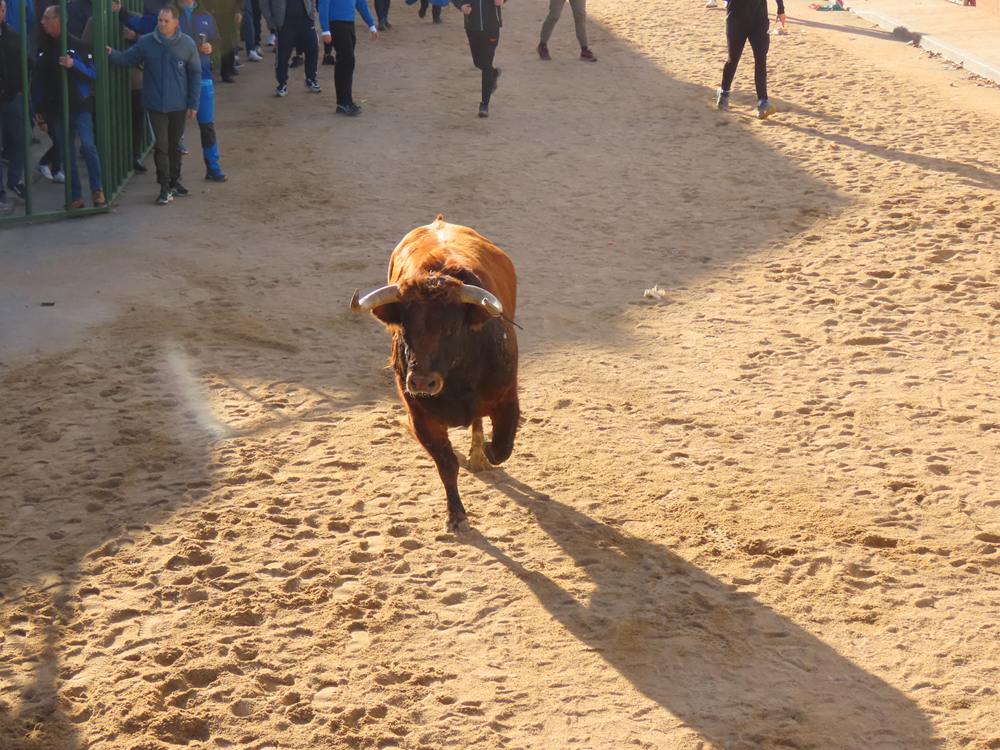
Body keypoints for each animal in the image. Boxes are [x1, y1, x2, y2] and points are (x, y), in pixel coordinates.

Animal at [350, 216, 520, 536]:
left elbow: (502, 447)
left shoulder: (507, 399)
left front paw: (485, 452)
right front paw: (457, 515)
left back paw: (478, 455)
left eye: (451, 329)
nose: (420, 382)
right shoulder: (421, 416)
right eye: (405, 328)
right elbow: (446, 463)